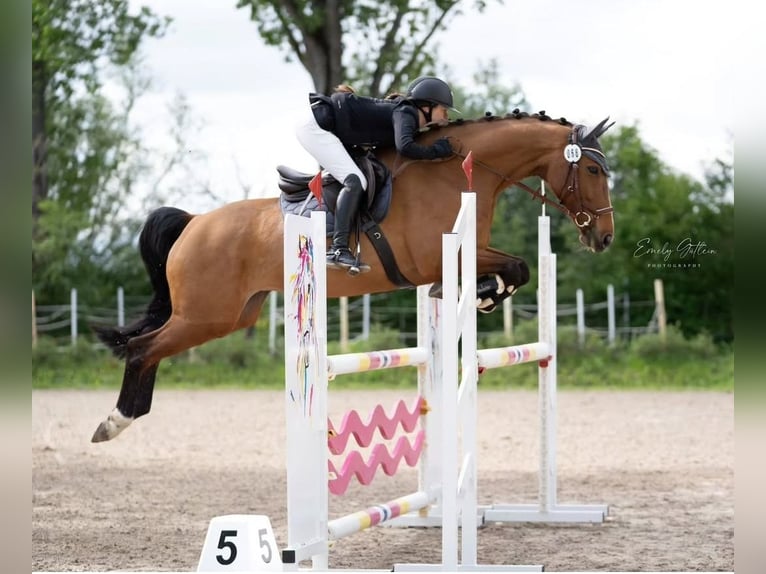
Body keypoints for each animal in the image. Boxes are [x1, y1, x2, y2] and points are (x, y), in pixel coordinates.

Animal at [90, 113, 616, 446]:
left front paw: (486, 294)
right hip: (204, 316)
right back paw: (114, 422)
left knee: (149, 347)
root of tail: (195, 222)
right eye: (592, 168)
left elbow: (518, 267)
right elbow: (515, 266)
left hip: (231, 315)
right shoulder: (435, 256)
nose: (605, 237)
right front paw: (487, 294)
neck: (454, 173)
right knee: (142, 348)